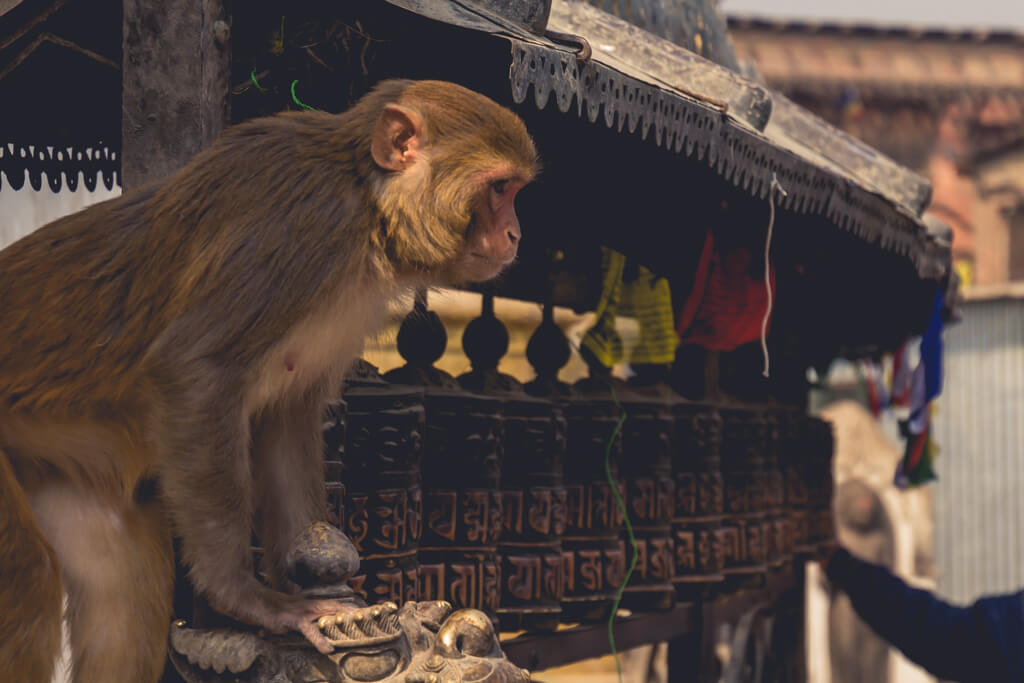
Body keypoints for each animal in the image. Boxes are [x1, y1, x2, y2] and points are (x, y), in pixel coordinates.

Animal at [0, 77, 540, 679]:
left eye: (515, 190)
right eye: (498, 188)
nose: (515, 233)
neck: (368, 205)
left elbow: (288, 416)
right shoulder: (301, 226)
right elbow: (197, 369)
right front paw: (246, 598)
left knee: (124, 598)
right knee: (26, 580)